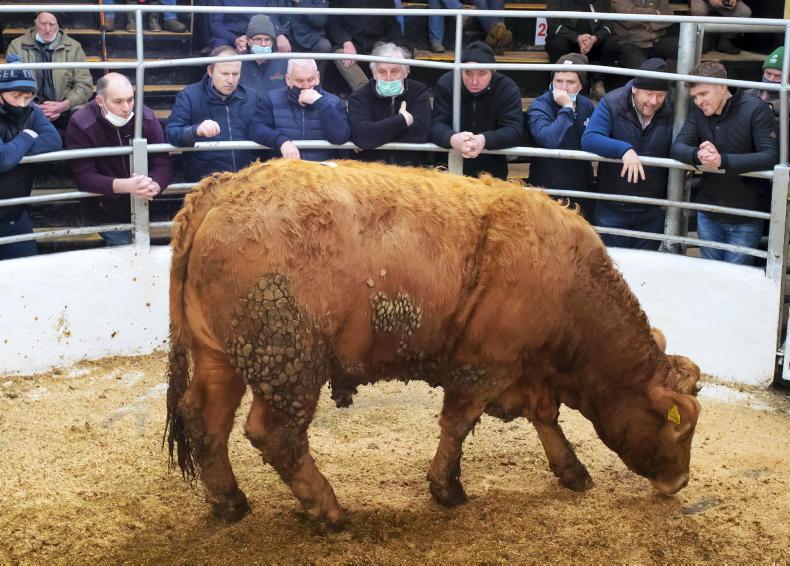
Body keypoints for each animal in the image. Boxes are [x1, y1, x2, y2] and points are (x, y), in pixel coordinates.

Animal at [166, 159, 701, 530]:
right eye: (679, 428)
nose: (679, 482)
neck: (569, 281)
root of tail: (225, 187)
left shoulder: (527, 367)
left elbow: (545, 417)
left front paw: (571, 469)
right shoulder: (483, 363)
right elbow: (458, 424)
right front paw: (446, 488)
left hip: (221, 356)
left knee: (205, 419)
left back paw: (230, 502)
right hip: (288, 362)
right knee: (275, 434)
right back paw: (327, 509)